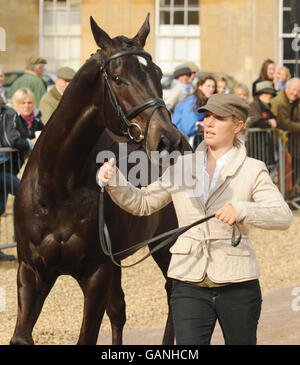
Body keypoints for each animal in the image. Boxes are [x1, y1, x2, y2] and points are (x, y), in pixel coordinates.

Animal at [10, 14, 191, 344]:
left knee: (174, 292)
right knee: (119, 309)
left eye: (158, 73)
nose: (168, 140)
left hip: (168, 242)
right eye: (118, 78)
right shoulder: (32, 271)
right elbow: (21, 335)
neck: (58, 187)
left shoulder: (95, 273)